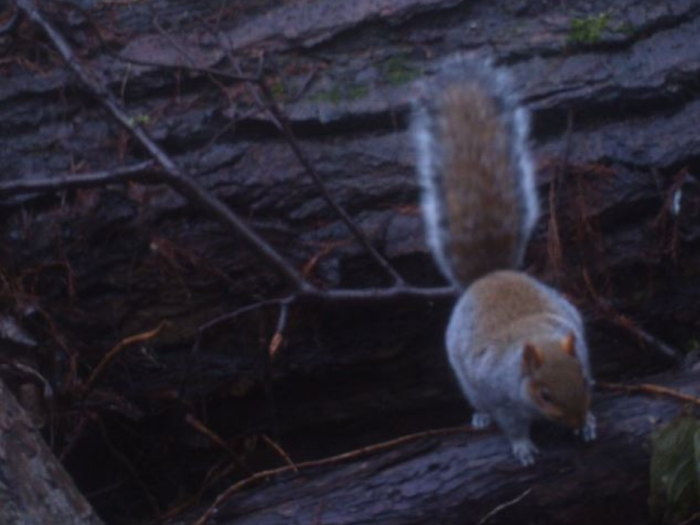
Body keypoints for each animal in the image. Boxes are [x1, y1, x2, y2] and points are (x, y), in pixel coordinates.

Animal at [410, 55, 596, 464]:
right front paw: (522, 446)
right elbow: (511, 425)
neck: (535, 337)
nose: (575, 420)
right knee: (479, 402)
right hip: (466, 379)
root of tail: (490, 275)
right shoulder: (502, 398)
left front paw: (590, 424)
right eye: (544, 393)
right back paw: (480, 417)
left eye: (583, 377)